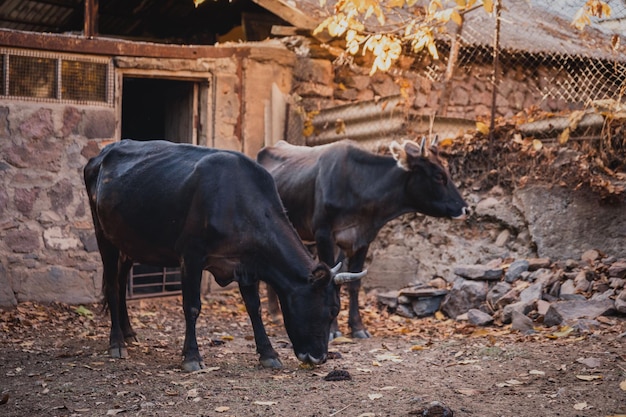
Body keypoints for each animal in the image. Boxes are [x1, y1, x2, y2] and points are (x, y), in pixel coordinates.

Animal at [85, 140, 364, 370]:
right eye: (332, 310)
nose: (319, 358)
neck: (237, 202)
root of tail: (102, 154)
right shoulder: (191, 256)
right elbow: (192, 306)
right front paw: (192, 357)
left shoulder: (245, 263)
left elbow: (254, 307)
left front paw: (268, 354)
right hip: (103, 235)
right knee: (112, 286)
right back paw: (117, 342)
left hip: (128, 241)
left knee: (121, 281)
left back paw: (129, 333)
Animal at [256, 138, 466, 340]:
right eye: (438, 176)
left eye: (447, 171)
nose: (464, 208)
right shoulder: (323, 233)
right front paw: (333, 330)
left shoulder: (363, 238)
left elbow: (354, 283)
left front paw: (358, 327)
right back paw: (275, 314)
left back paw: (276, 314)